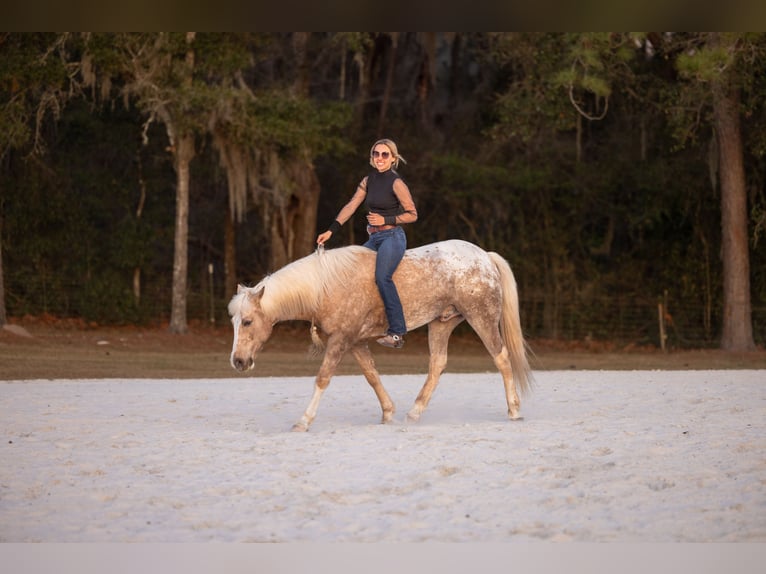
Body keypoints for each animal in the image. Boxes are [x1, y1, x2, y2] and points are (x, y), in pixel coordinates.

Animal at [228, 239, 532, 431]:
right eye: (234, 322)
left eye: (248, 321)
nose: (238, 361)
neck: (326, 286)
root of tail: (485, 256)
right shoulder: (355, 343)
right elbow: (372, 376)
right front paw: (388, 413)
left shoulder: (340, 342)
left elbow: (322, 379)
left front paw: (303, 421)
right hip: (441, 323)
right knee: (437, 365)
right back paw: (414, 412)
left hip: (481, 318)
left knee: (502, 359)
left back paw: (514, 410)